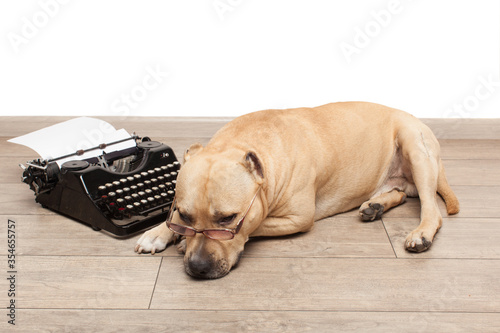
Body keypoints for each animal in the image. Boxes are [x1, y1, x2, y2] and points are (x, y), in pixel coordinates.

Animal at [135, 101, 458, 278]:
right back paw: (375, 205)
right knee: (401, 192)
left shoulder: (297, 218)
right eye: (185, 216)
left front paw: (180, 242)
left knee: (430, 207)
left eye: (227, 219)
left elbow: (255, 226)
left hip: (414, 146)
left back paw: (420, 233)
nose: (199, 266)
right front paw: (159, 233)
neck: (243, 143)